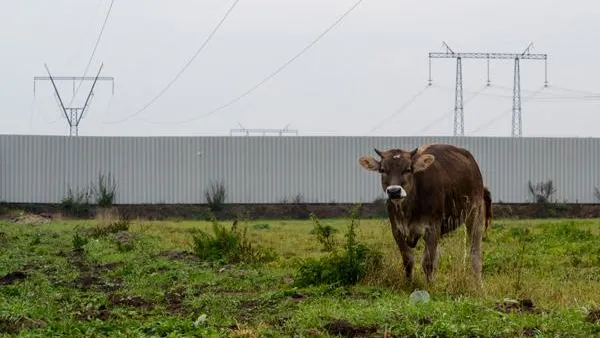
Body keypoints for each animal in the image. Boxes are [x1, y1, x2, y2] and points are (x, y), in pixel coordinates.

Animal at [358, 142, 490, 282]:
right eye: (382, 170)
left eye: (408, 169)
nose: (394, 191)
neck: (408, 210)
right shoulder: (396, 230)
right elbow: (408, 260)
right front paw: (409, 283)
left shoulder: (432, 228)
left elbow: (427, 262)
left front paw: (429, 285)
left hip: (476, 212)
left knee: (475, 253)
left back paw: (478, 283)